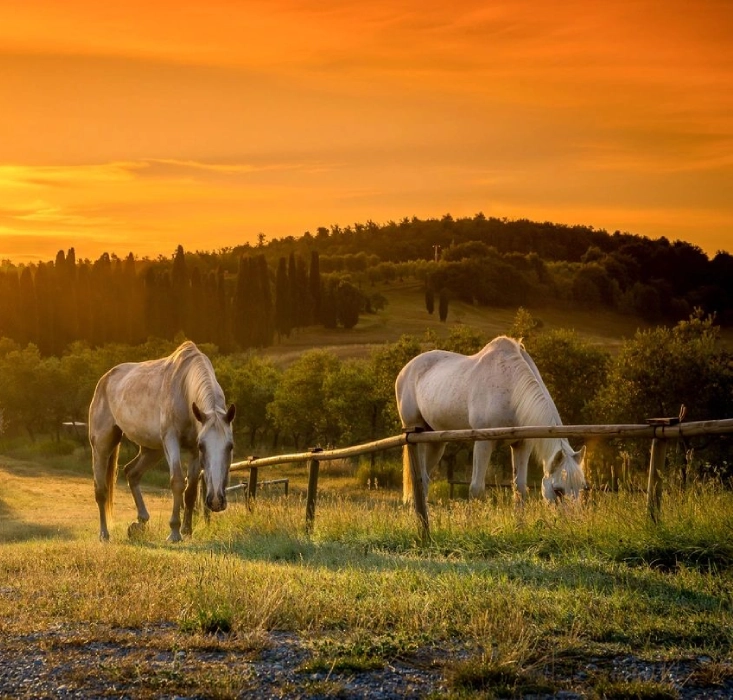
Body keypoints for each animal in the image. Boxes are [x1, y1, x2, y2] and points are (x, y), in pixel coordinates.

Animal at [89, 342, 234, 544]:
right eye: (203, 446)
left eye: (230, 446)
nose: (215, 501)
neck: (183, 388)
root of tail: (104, 380)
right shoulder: (172, 440)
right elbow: (177, 482)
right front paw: (174, 532)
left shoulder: (192, 450)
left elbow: (191, 489)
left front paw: (187, 530)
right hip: (102, 445)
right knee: (101, 489)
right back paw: (104, 534)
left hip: (152, 450)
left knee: (132, 473)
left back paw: (140, 523)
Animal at [392, 336, 588, 506]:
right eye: (558, 490)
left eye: (582, 488)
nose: (573, 522)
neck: (511, 387)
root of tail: (406, 369)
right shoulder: (483, 442)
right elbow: (476, 489)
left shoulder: (522, 444)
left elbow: (520, 489)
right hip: (417, 436)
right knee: (420, 481)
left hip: (436, 442)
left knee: (424, 478)